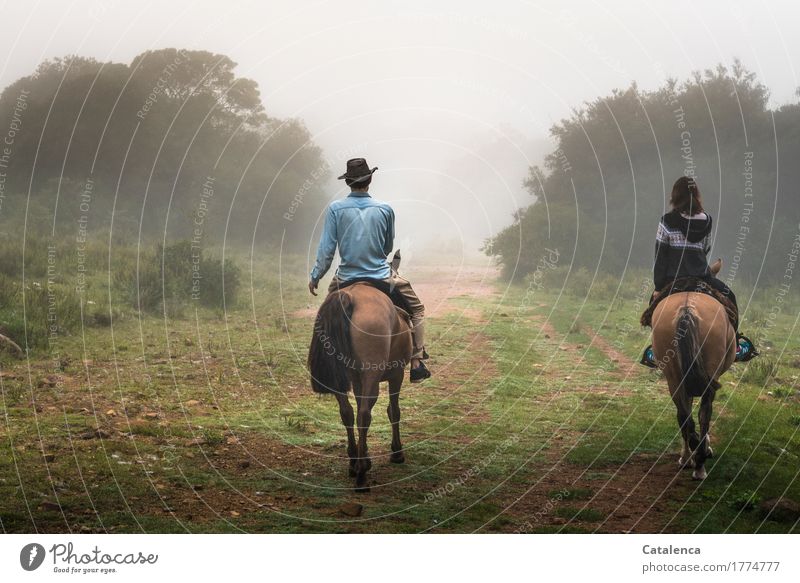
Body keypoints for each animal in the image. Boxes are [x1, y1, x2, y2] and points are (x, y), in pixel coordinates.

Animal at [308, 280, 412, 490]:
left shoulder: (357, 380)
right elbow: (394, 411)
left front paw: (365, 456)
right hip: (372, 373)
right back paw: (362, 475)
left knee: (347, 413)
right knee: (364, 415)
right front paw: (397, 452)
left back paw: (354, 462)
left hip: (340, 376)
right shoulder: (397, 374)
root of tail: (349, 296)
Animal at [652, 262, 736, 482]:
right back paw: (699, 464)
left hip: (674, 377)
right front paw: (704, 449)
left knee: (684, 416)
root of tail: (687, 308)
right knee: (703, 413)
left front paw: (691, 453)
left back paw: (693, 456)